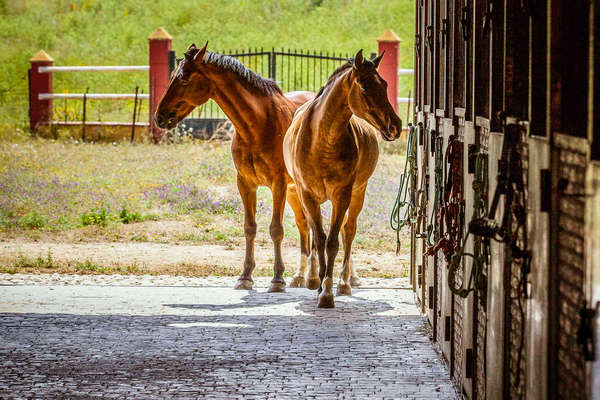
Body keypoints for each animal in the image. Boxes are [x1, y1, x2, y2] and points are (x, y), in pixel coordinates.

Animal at [154, 43, 314, 292]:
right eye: (171, 76)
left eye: (184, 78)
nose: (159, 117)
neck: (257, 125)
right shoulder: (246, 183)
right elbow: (250, 227)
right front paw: (245, 276)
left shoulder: (277, 184)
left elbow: (276, 229)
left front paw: (277, 279)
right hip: (294, 190)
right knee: (304, 224)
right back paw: (300, 276)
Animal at [282, 49, 404, 306]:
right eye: (365, 86)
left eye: (385, 84)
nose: (396, 125)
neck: (321, 140)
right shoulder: (306, 195)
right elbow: (319, 239)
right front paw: (318, 284)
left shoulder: (342, 195)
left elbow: (333, 242)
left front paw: (328, 291)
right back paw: (313, 277)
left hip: (358, 193)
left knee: (349, 231)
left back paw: (345, 282)